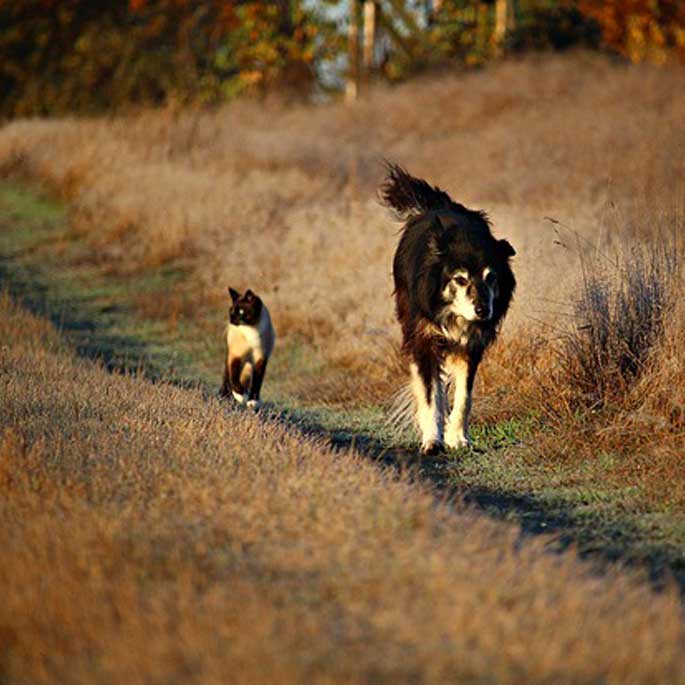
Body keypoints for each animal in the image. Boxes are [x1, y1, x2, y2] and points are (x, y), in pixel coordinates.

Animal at [380, 164, 512, 454]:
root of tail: (436, 205)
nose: (483, 310)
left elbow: (464, 396)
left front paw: (458, 439)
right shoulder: (424, 337)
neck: (454, 315)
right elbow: (430, 394)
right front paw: (432, 440)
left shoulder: (470, 346)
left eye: (491, 277)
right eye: (460, 279)